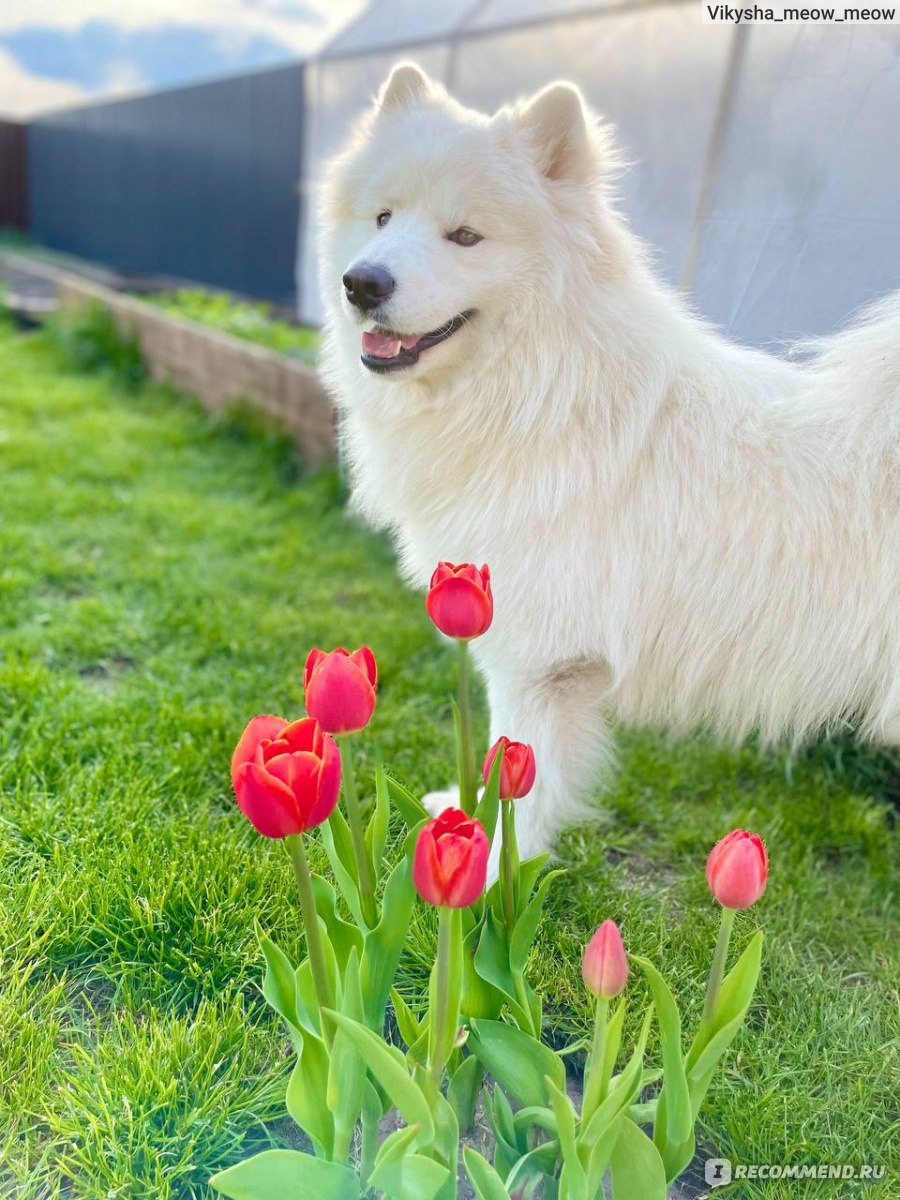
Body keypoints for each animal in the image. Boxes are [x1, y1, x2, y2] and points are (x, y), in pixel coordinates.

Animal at [319, 63, 900, 864]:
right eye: (382, 218)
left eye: (465, 236)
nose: (363, 284)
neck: (542, 392)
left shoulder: (540, 659)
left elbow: (519, 773)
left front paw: (490, 869)